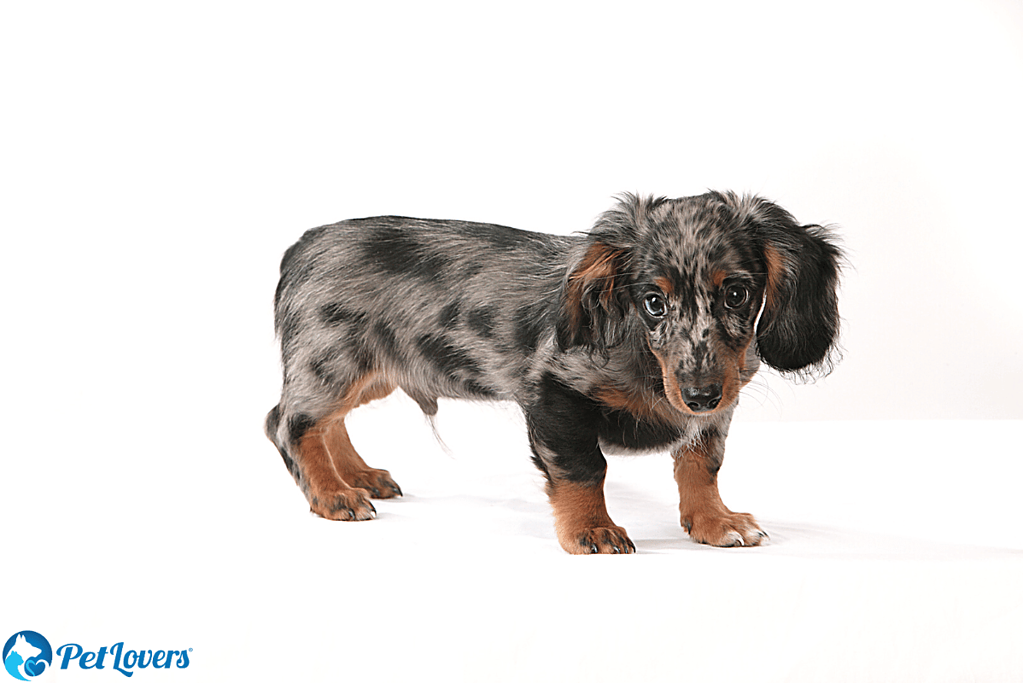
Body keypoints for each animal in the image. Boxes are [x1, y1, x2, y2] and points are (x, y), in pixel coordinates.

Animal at [263, 192, 838, 556]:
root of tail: (302, 247)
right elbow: (585, 468)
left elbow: (702, 466)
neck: (647, 362)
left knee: (324, 421)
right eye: (652, 302)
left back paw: (357, 476)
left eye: (737, 293)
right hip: (333, 361)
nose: (699, 396)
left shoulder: (720, 405)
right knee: (288, 422)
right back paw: (332, 494)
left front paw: (716, 522)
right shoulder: (553, 391)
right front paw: (592, 530)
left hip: (372, 371)